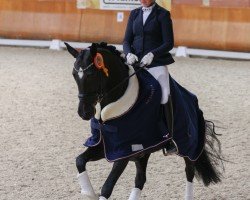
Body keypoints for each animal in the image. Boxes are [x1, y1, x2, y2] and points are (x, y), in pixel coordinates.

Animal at [64, 41, 223, 199]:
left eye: (91, 75)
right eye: (74, 74)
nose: (84, 113)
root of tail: (193, 101)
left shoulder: (124, 152)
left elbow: (107, 187)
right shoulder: (107, 146)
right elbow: (79, 161)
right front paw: (89, 192)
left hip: (188, 146)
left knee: (189, 172)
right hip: (143, 153)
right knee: (140, 179)